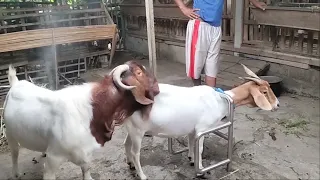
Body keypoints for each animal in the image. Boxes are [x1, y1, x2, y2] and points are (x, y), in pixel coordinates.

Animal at [1, 60, 159, 180]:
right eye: (139, 73)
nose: (157, 87)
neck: (94, 112)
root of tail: (15, 83)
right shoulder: (53, 158)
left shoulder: (86, 153)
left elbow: (86, 170)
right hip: (9, 134)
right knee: (14, 153)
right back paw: (16, 173)